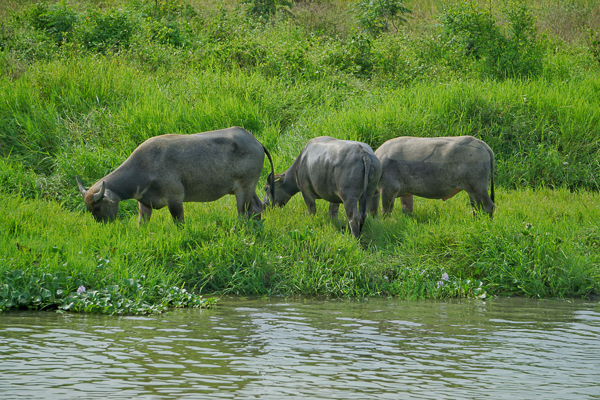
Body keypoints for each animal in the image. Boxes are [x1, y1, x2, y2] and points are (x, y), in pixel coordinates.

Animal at [75, 126, 274, 223]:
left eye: (97, 208)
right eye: (89, 210)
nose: (104, 224)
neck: (143, 168)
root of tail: (256, 142)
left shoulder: (175, 199)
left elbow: (179, 223)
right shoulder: (144, 204)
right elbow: (142, 224)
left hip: (244, 189)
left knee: (243, 214)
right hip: (248, 188)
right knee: (257, 208)